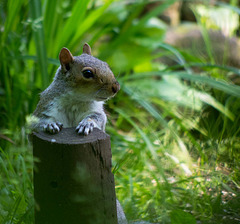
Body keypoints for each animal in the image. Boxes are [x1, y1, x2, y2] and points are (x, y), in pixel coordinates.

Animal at [30, 43, 127, 222]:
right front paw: (50, 124)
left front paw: (86, 124)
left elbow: (96, 119)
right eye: (87, 73)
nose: (116, 87)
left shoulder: (97, 113)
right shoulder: (43, 109)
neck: (76, 99)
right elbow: (37, 125)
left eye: (106, 64)